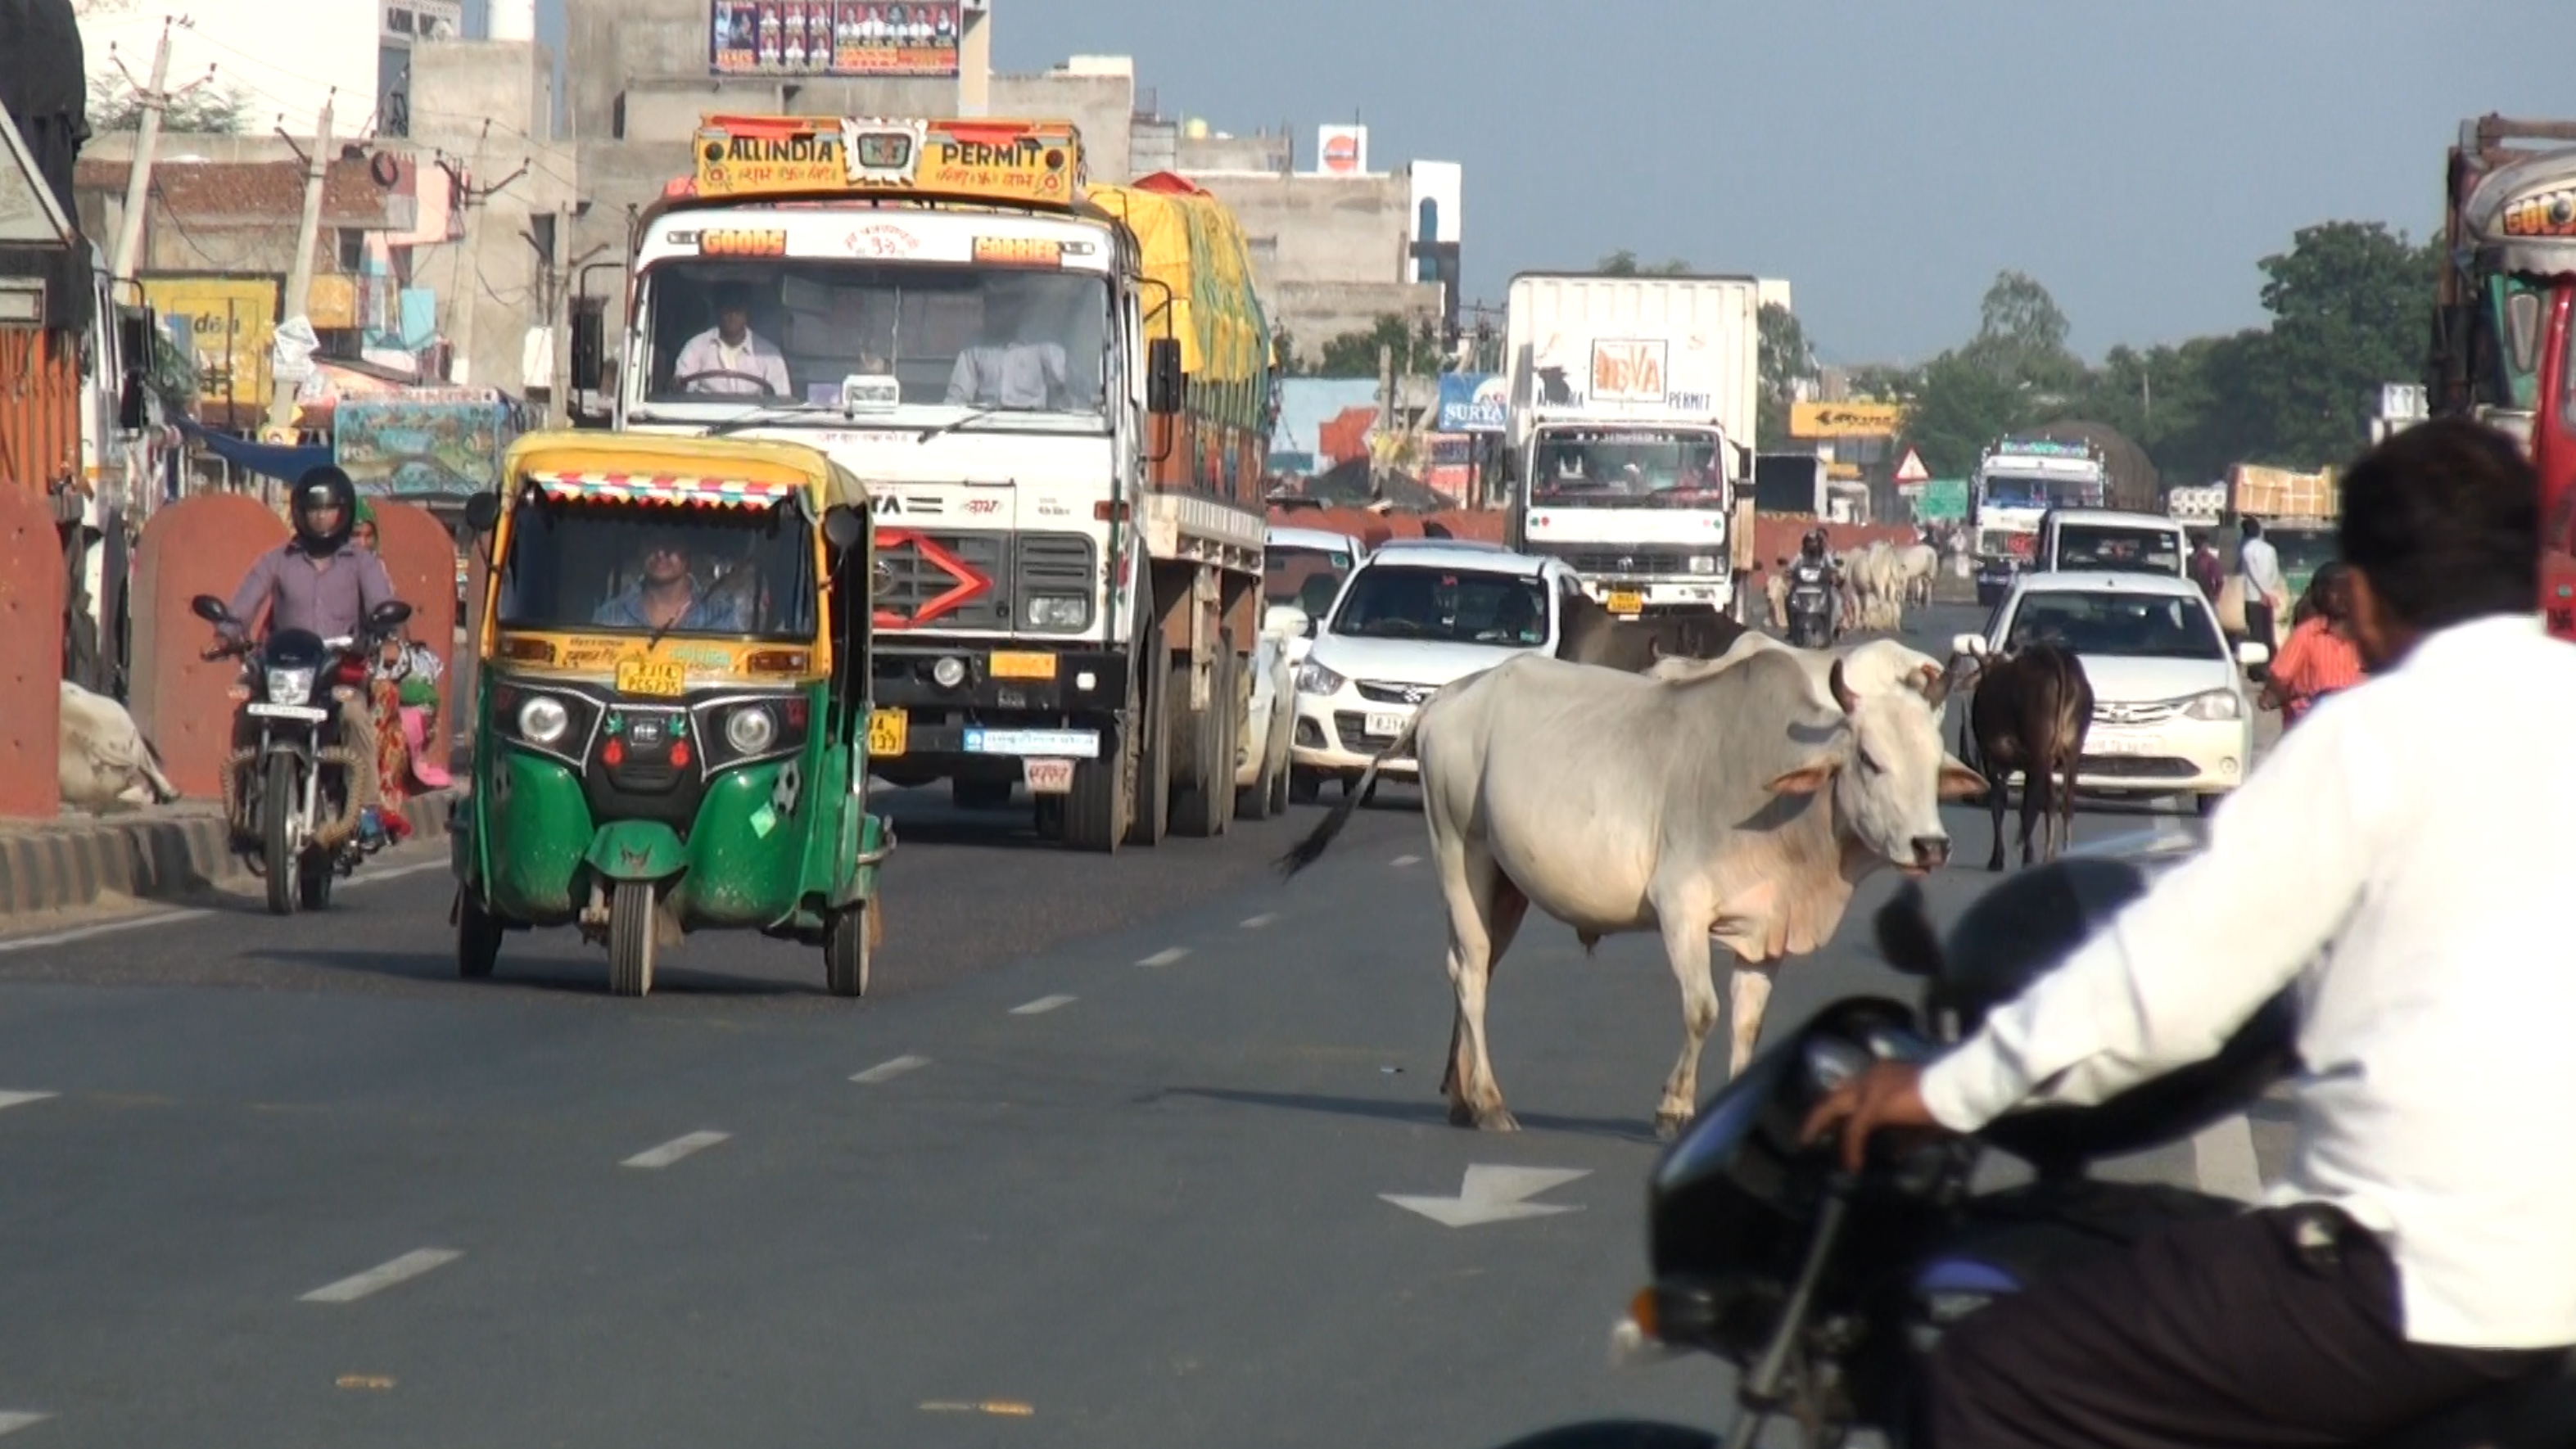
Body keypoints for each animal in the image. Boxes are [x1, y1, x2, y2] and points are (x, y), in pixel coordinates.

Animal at [1277, 651, 1978, 1137]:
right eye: (1871, 760)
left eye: (1934, 763)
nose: (1931, 846)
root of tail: (1450, 696)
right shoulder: (1681, 909)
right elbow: (1702, 1012)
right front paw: (1674, 1110)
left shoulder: (1765, 934)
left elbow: (1748, 1027)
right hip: (1459, 853)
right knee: (1469, 970)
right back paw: (1491, 1103)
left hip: (1506, 885)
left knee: (1477, 970)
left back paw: (1462, 1095)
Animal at [1947, 646, 2091, 874]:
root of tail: (2056, 659)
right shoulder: (2030, 766)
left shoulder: (1992, 760)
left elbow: (1999, 804)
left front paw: (1997, 859)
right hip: (2070, 752)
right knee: (2064, 802)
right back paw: (2062, 852)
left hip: (2042, 754)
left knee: (2043, 803)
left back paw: (2042, 855)